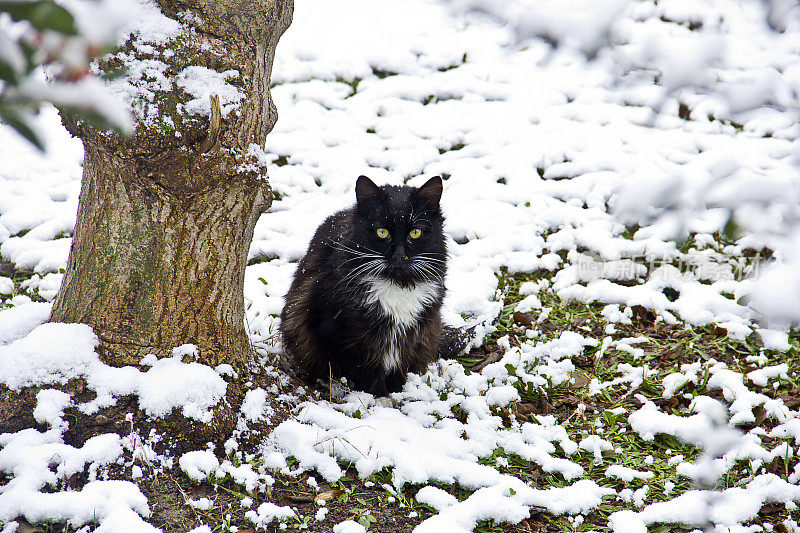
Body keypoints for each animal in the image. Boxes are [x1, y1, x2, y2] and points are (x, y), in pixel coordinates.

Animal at [280, 175, 444, 394]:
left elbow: (399, 363)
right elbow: (364, 368)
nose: (400, 255)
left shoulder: (414, 334)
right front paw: (378, 396)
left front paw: (396, 392)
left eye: (415, 232)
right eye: (382, 232)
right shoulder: (344, 331)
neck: (395, 284)